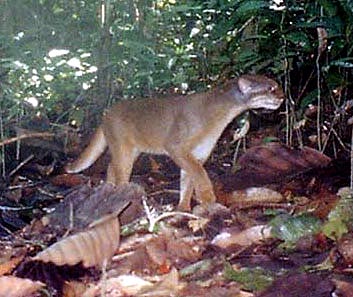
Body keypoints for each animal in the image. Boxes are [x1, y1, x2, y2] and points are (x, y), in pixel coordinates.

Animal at [64, 76, 282, 210]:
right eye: (271, 88)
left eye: (277, 86)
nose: (282, 97)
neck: (220, 113)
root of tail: (106, 113)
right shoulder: (177, 148)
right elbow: (199, 174)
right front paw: (207, 198)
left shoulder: (197, 155)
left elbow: (187, 181)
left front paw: (183, 207)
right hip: (123, 149)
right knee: (120, 170)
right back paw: (121, 193)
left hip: (131, 151)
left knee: (111, 166)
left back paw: (109, 189)